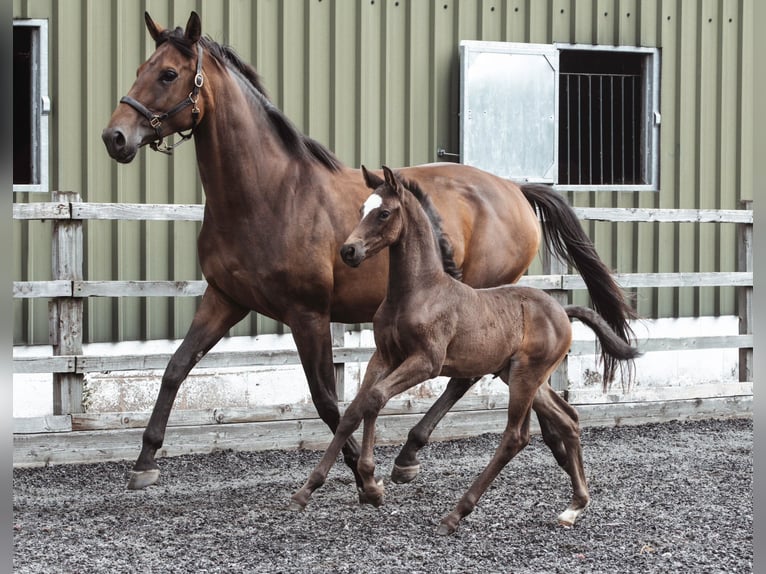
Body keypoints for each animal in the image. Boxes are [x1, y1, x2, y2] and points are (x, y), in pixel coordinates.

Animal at [100, 11, 636, 492]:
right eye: (140, 69)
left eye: (169, 74)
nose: (115, 137)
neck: (268, 194)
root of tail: (514, 189)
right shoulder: (224, 299)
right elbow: (175, 368)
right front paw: (145, 461)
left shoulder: (308, 314)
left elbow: (328, 400)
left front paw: (360, 471)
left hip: (481, 303)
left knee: (464, 376)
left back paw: (413, 453)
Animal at [290, 166, 640, 536]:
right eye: (361, 209)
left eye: (383, 213)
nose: (349, 251)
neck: (418, 291)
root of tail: (562, 310)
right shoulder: (384, 356)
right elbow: (354, 410)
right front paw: (306, 491)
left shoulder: (425, 362)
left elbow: (375, 398)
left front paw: (372, 485)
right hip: (522, 376)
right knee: (568, 420)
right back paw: (574, 506)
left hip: (525, 378)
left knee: (515, 436)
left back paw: (455, 514)